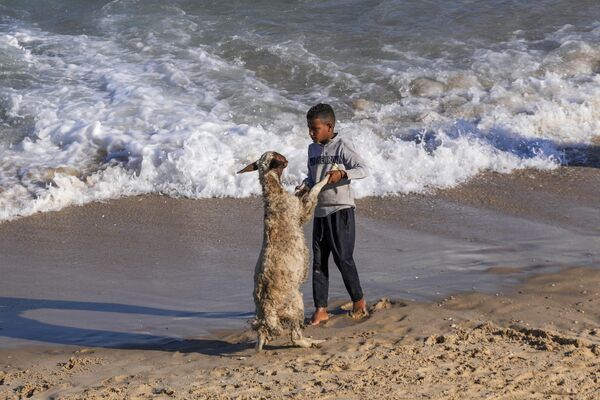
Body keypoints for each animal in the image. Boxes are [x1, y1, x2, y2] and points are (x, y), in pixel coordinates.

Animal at [238, 150, 332, 350]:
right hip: (296, 302)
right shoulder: (302, 211)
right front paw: (324, 179)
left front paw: (302, 186)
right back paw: (312, 341)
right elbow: (314, 191)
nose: (288, 159)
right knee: (295, 337)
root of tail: (267, 310)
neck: (273, 193)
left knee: (263, 333)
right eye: (279, 156)